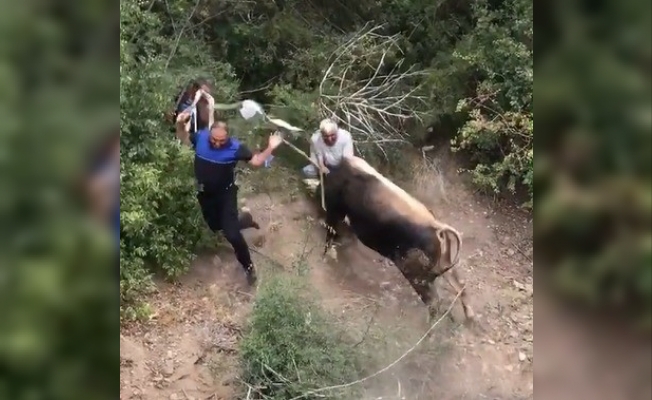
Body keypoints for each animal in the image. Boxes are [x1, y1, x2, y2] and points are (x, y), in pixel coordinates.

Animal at [322, 155, 472, 318]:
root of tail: (437, 227)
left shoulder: (334, 211)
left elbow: (330, 235)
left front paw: (325, 259)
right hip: (442, 266)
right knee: (460, 286)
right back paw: (470, 319)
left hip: (417, 275)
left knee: (434, 301)